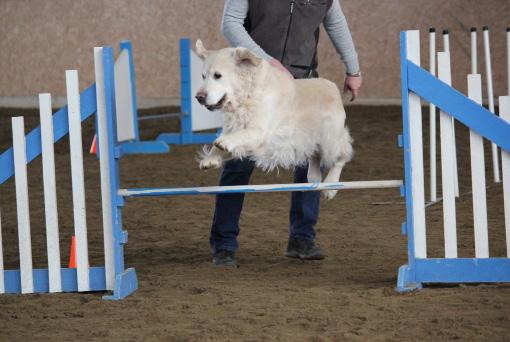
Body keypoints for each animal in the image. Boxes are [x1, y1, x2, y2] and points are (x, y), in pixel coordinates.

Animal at [193, 40, 352, 199]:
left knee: (341, 156)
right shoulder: (233, 125)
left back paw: (330, 187)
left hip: (330, 141)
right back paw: (313, 179)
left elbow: (238, 135)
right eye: (203, 76)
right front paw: (210, 159)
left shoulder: (259, 132)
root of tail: (333, 87)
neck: (247, 94)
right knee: (315, 155)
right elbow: (222, 140)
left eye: (217, 75)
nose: (199, 97)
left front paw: (224, 142)